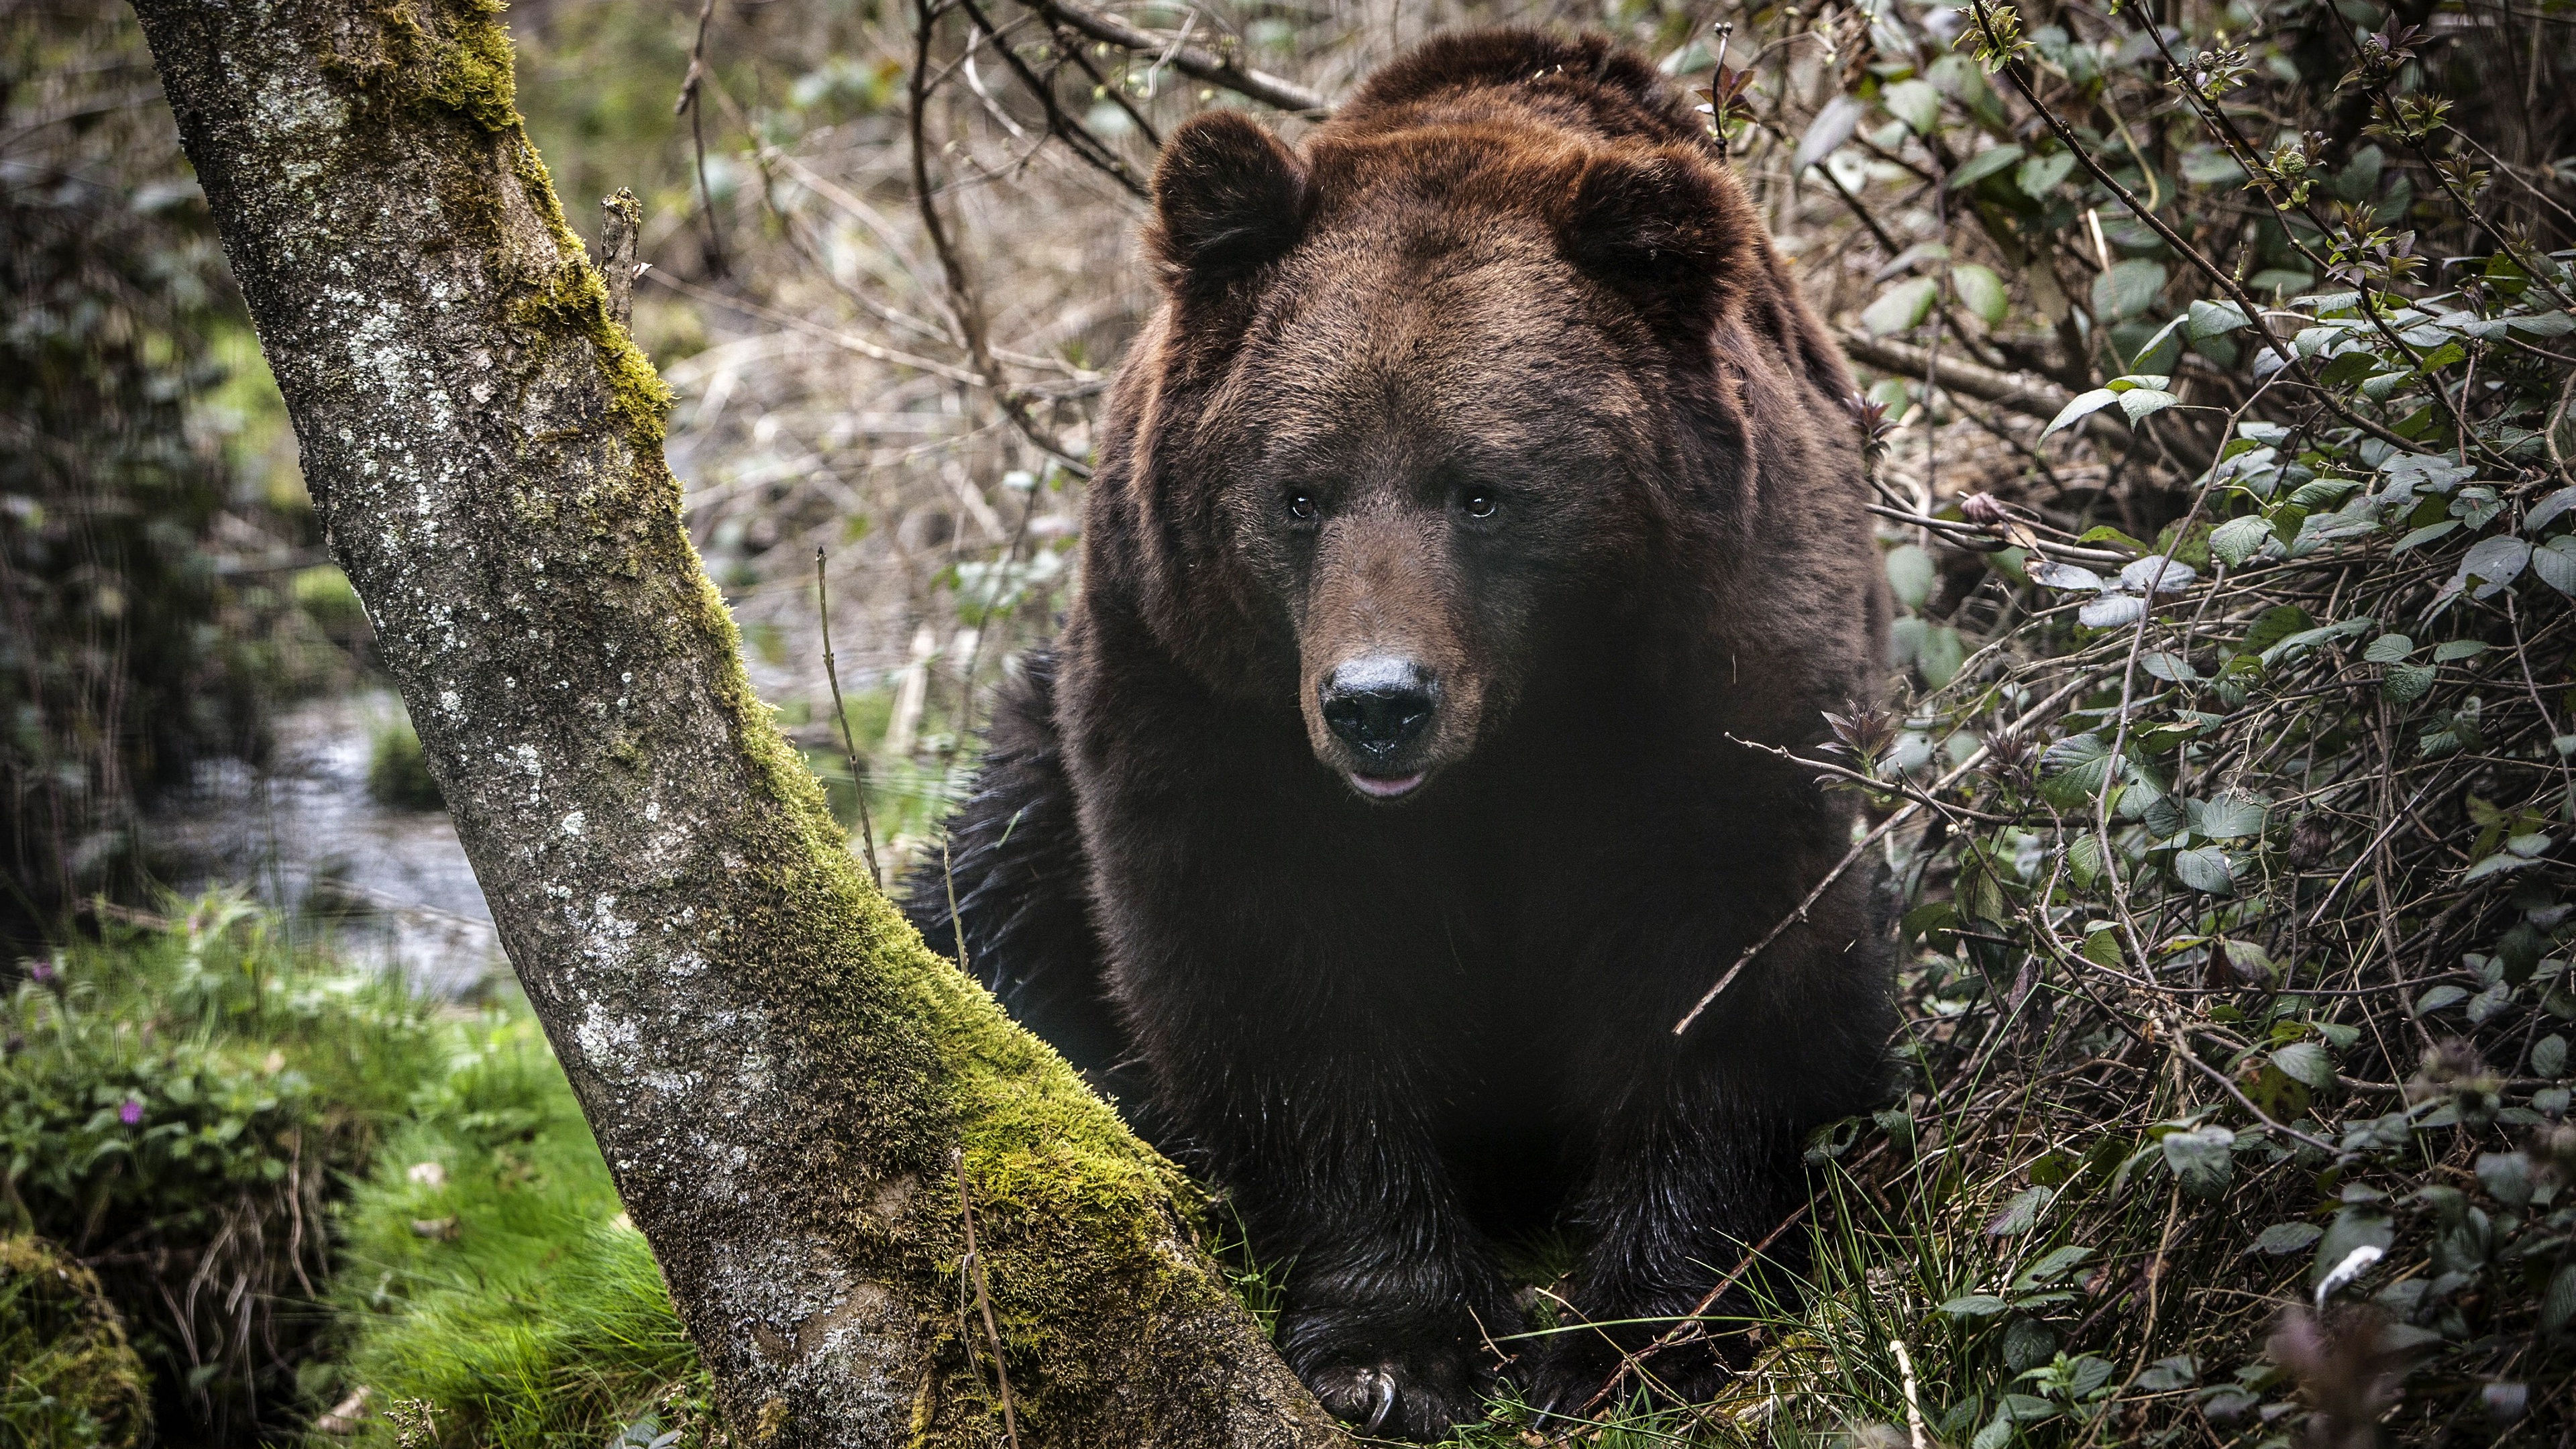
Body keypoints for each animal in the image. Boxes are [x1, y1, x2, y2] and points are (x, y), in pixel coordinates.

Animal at [906, 28, 1896, 1433]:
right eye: (1299, 492)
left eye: (1482, 490)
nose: (1379, 703)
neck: (1518, 732)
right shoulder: (1205, 695)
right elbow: (1281, 977)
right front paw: (1393, 1347)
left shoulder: (1721, 674)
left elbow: (1721, 967)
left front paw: (1638, 1332)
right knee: (987, 897)